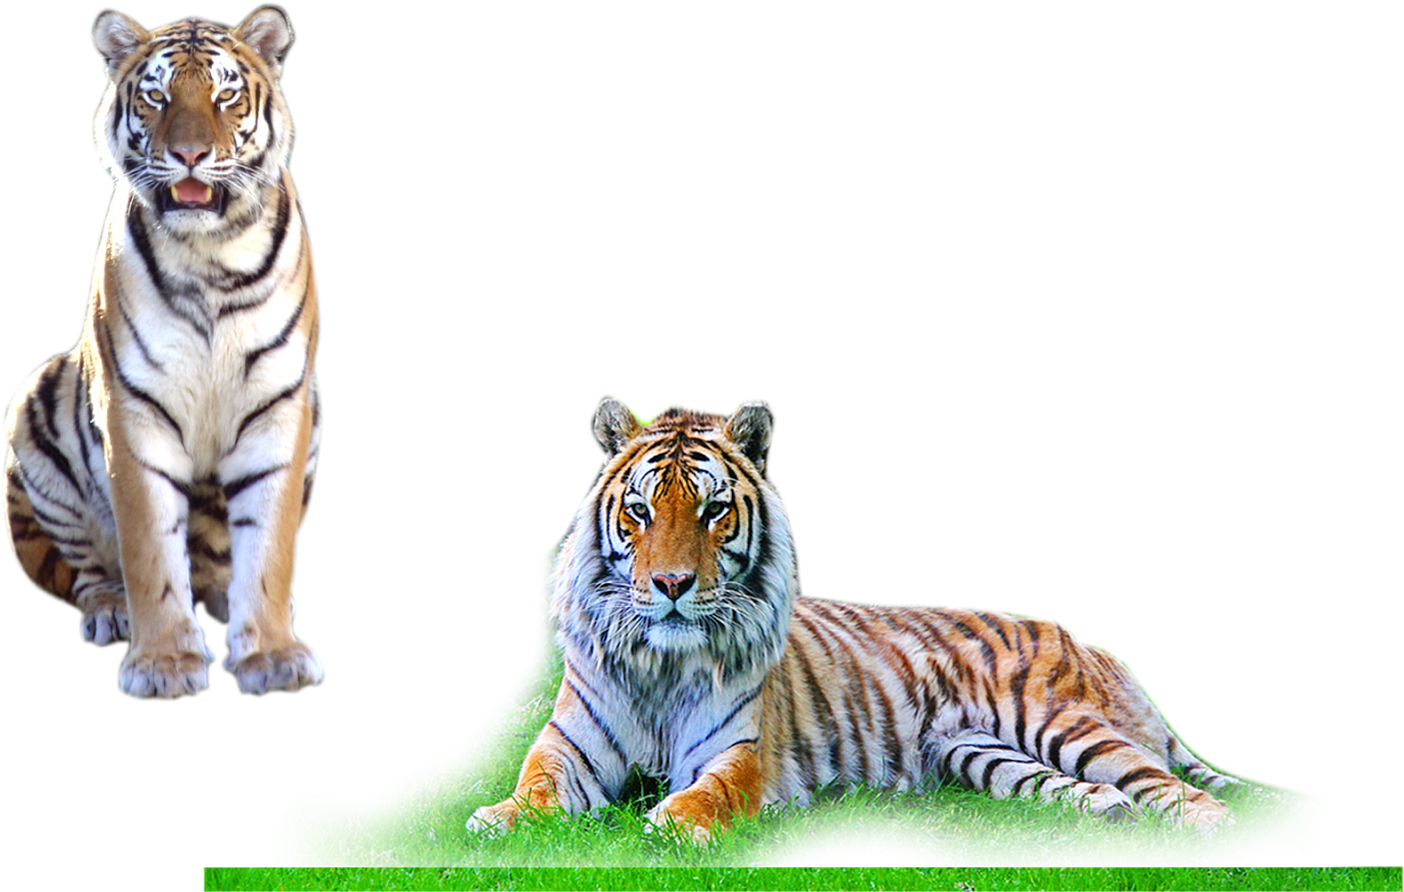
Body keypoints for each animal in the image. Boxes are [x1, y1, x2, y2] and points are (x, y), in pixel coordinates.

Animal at [1, 6, 322, 701]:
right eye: (157, 96)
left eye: (225, 96)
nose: (190, 155)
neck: (212, 259)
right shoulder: (134, 409)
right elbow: (149, 549)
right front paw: (164, 664)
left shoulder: (279, 404)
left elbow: (270, 545)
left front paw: (273, 654)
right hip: (36, 405)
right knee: (90, 570)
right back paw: (112, 612)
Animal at [467, 398, 1241, 842]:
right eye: (640, 510)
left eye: (714, 511)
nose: (671, 585)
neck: (663, 662)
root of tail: (1088, 640)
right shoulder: (569, 744)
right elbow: (535, 785)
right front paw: (499, 818)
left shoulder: (740, 754)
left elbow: (706, 796)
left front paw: (665, 822)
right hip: (981, 753)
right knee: (1098, 790)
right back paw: (1107, 811)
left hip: (1064, 723)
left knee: (1184, 792)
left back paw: (1210, 835)